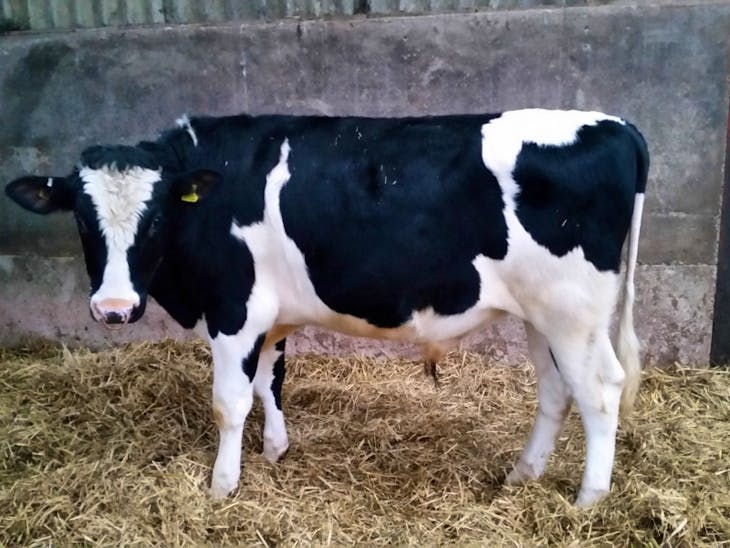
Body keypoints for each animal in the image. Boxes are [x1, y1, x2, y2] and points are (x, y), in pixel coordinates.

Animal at [5, 109, 649, 506]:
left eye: (158, 214)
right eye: (81, 219)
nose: (114, 308)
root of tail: (615, 124)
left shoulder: (234, 310)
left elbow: (229, 402)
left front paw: (222, 485)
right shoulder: (271, 316)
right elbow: (269, 381)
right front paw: (275, 451)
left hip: (574, 313)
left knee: (600, 391)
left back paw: (587, 500)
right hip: (544, 316)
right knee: (557, 391)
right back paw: (521, 475)